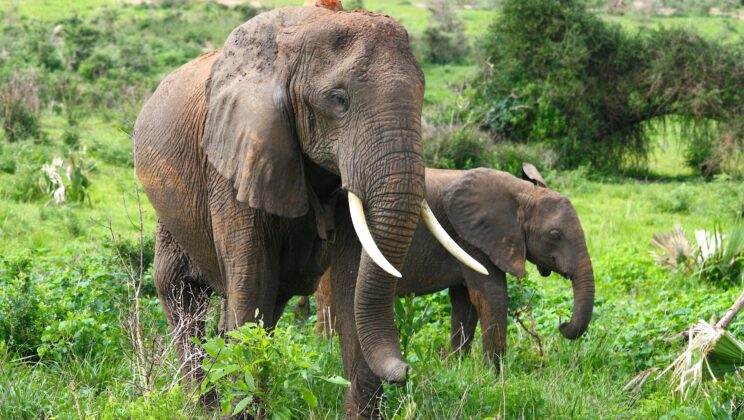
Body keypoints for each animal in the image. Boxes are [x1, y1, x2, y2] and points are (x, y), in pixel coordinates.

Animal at [133, 6, 482, 418]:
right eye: (338, 100)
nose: (407, 369)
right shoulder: (233, 158)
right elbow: (251, 278)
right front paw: (242, 411)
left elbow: (351, 280)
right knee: (182, 291)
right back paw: (202, 407)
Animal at [318, 164, 595, 369]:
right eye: (555, 235)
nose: (562, 326)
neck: (523, 192)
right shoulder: (473, 239)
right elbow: (492, 295)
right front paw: (494, 375)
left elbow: (465, 302)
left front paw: (456, 366)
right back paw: (325, 354)